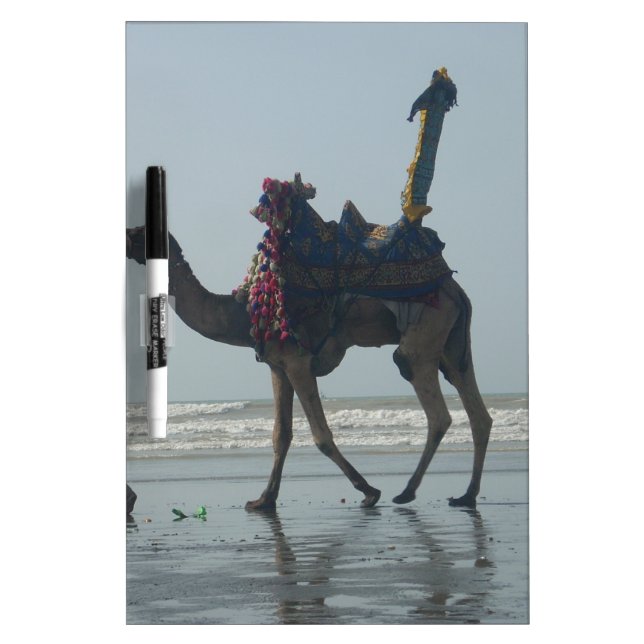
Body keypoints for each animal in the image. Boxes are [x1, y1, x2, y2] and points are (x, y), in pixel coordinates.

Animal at [126, 224, 492, 510]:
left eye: (139, 231)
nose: (124, 236)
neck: (244, 312)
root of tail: (456, 289)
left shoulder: (298, 361)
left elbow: (320, 435)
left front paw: (369, 491)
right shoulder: (276, 366)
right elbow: (281, 434)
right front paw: (264, 500)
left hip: (424, 331)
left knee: (434, 406)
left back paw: (407, 492)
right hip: (451, 342)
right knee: (477, 411)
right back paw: (467, 495)